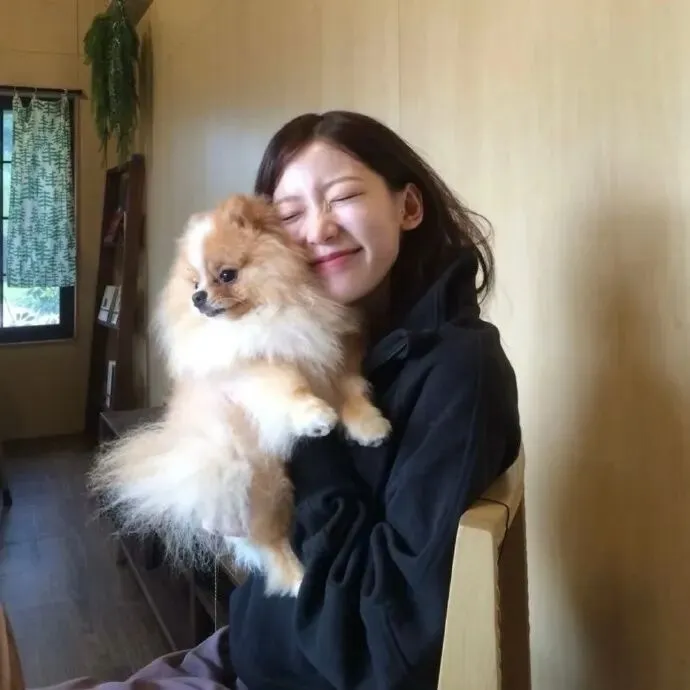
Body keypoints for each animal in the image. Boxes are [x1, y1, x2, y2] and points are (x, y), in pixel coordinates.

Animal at [88, 194, 391, 597]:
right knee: (272, 544)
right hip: (258, 480)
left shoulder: (336, 353)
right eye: (195, 282)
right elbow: (289, 384)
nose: (198, 297)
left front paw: (369, 426)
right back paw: (299, 580)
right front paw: (315, 416)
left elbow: (352, 390)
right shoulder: (254, 365)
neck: (272, 311)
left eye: (227, 275)